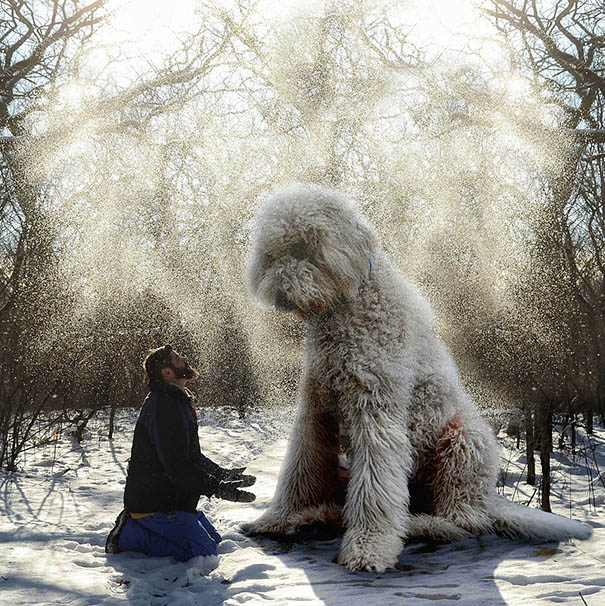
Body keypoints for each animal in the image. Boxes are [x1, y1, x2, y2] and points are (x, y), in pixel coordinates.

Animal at [244, 184, 588, 576]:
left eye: (304, 249)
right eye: (273, 254)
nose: (279, 294)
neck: (349, 307)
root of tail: (488, 500)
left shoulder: (375, 408)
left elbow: (375, 487)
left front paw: (369, 548)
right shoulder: (317, 408)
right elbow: (299, 468)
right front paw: (278, 519)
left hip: (462, 441)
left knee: (462, 521)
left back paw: (418, 524)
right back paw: (322, 515)